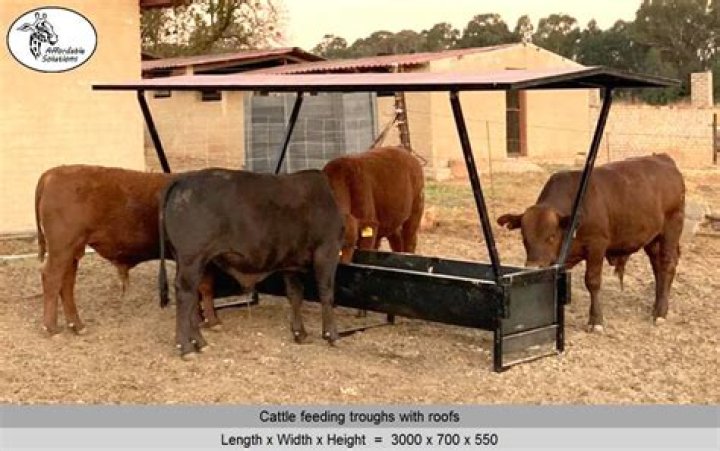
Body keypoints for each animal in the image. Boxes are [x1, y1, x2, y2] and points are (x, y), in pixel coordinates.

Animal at [35, 165, 220, 336]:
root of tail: (53, 173)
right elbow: (203, 286)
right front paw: (210, 321)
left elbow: (204, 286)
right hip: (62, 248)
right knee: (51, 277)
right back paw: (50, 327)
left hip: (72, 251)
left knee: (66, 282)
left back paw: (77, 325)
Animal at [158, 168, 345, 359]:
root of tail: (184, 180)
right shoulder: (327, 250)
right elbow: (326, 292)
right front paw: (332, 335)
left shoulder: (291, 263)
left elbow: (295, 295)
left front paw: (300, 333)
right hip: (192, 259)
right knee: (185, 295)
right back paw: (186, 347)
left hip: (190, 261)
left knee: (192, 297)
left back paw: (200, 343)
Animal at [497, 154, 685, 332]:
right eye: (524, 237)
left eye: (551, 236)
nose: (534, 266)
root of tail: (663, 158)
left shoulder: (597, 245)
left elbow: (592, 281)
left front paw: (596, 321)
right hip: (653, 238)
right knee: (657, 267)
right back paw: (657, 304)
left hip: (672, 228)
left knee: (667, 265)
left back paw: (660, 312)